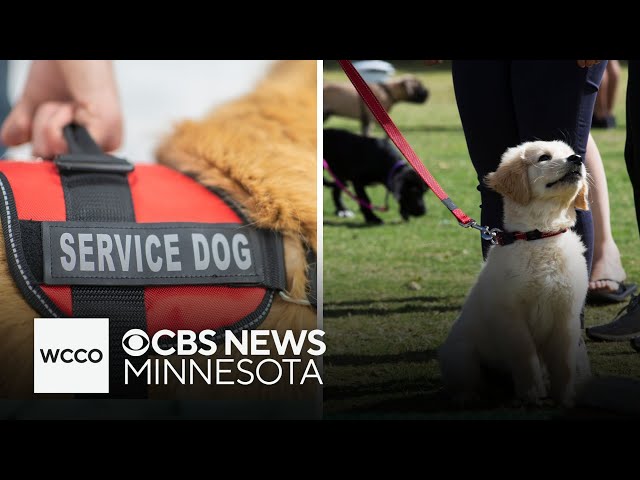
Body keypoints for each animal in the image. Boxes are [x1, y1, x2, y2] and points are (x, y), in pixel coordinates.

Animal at [440, 141, 592, 406]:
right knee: (464, 383)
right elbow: (526, 358)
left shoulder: (566, 315)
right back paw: (468, 397)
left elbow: (564, 365)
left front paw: (565, 398)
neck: (541, 236)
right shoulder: (512, 317)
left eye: (570, 152)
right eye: (544, 157)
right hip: (461, 355)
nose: (576, 159)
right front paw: (532, 395)